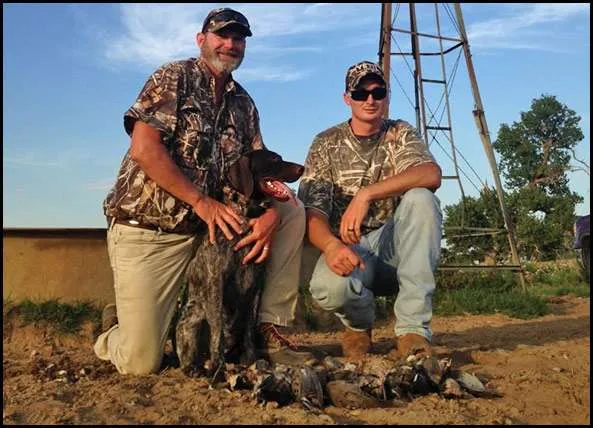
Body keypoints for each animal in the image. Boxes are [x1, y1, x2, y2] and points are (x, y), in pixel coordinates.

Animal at [173, 149, 302, 376]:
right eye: (274, 159)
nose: (302, 168)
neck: (245, 219)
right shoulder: (217, 283)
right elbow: (217, 330)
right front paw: (218, 367)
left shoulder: (256, 285)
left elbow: (250, 330)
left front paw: (251, 361)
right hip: (192, 322)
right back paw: (196, 367)